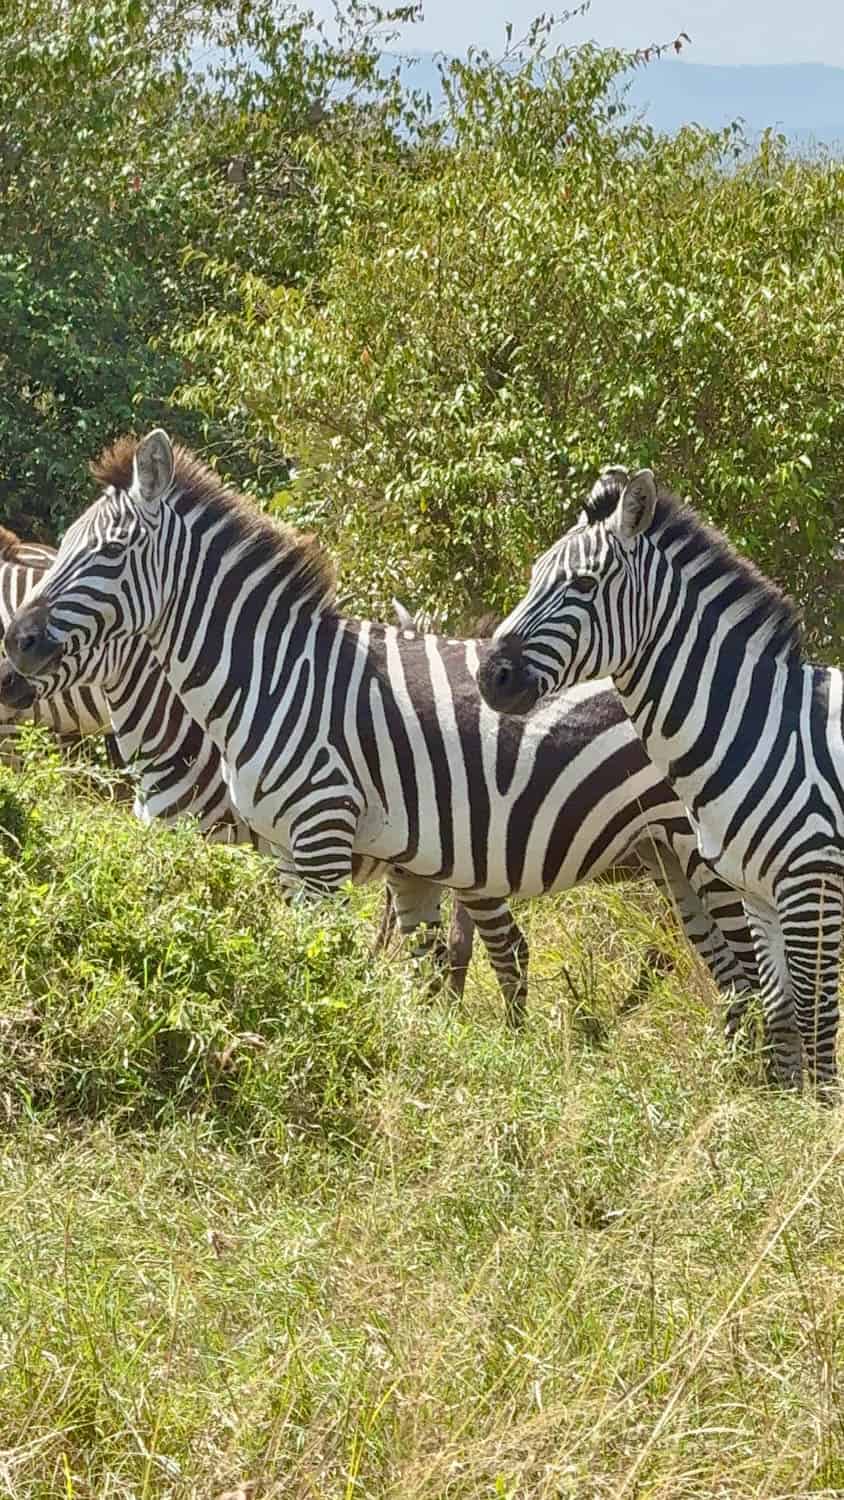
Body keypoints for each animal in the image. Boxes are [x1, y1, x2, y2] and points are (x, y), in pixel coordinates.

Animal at [5, 430, 762, 1034]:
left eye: (109, 552)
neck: (272, 678)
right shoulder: (282, 852)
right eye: (63, 549)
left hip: (703, 858)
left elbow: (301, 964)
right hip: (664, 858)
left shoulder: (316, 837)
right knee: (726, 976)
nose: (17, 646)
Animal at [478, 464, 844, 1096]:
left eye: (583, 586)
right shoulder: (759, 894)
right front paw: (782, 1107)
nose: (488, 677)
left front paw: (818, 1111)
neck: (758, 729)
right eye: (533, 576)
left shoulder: (812, 887)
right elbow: (781, 1013)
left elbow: (816, 1015)